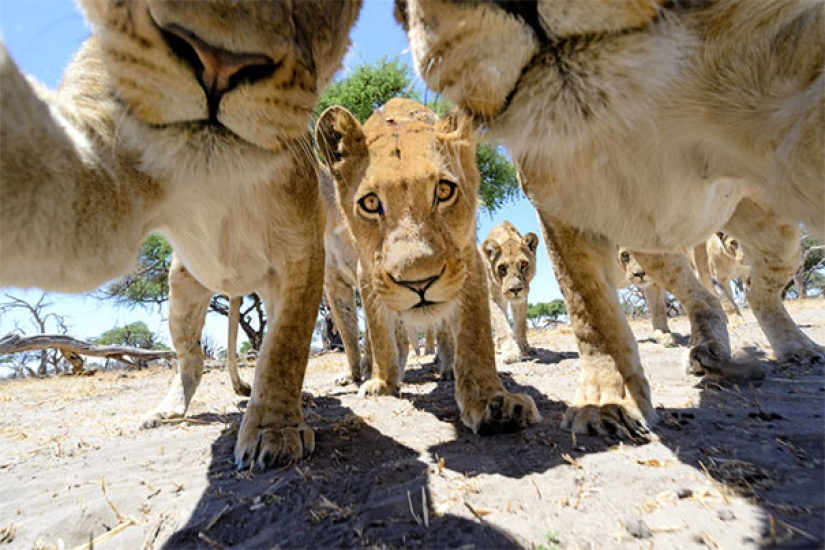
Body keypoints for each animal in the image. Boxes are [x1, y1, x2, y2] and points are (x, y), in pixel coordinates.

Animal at [0, 0, 360, 470]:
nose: (219, 62)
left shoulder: (302, 253)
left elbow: (285, 345)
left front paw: (274, 431)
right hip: (183, 289)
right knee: (191, 357)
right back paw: (166, 411)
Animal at [480, 222, 536, 364]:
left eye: (523, 264)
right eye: (501, 268)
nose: (515, 289)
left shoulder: (522, 298)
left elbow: (520, 324)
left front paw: (524, 349)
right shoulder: (491, 297)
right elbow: (501, 324)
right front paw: (510, 352)